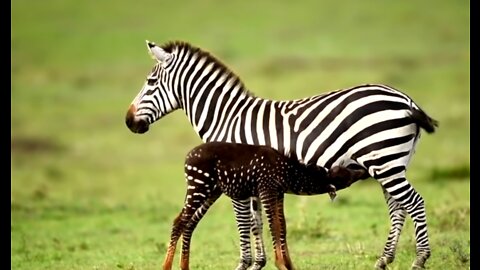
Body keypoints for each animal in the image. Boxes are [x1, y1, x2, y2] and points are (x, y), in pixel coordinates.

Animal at [163, 141, 366, 270]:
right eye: (348, 175)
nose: (363, 170)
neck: (288, 171)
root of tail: (188, 156)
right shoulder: (267, 189)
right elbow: (274, 226)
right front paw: (281, 265)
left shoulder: (277, 193)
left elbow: (282, 227)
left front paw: (289, 265)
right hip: (199, 186)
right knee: (178, 221)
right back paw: (166, 266)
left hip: (211, 191)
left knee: (189, 223)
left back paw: (184, 266)